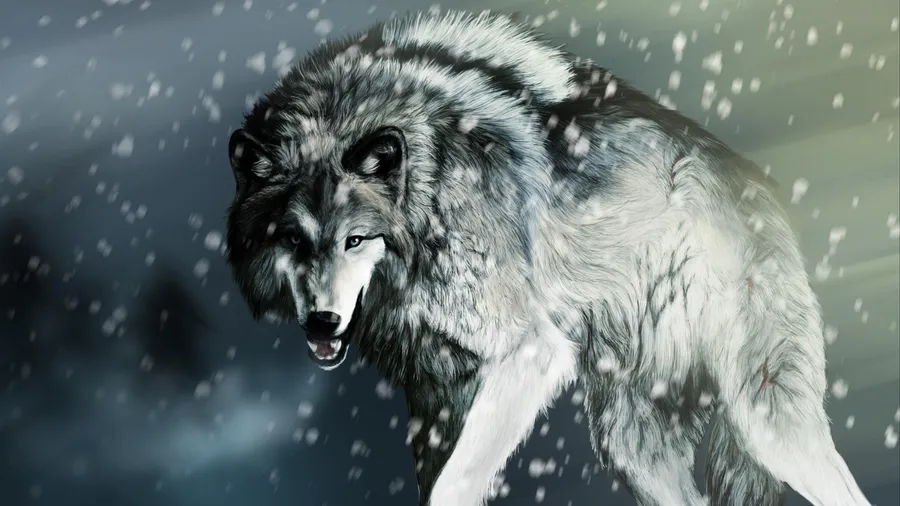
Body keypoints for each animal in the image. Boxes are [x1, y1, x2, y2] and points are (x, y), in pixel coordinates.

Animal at [223, 10, 872, 506]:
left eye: (355, 240)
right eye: (292, 240)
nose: (322, 323)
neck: (429, 189)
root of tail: (759, 184)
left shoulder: (528, 353)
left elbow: (454, 485)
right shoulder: (435, 397)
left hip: (766, 421)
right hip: (629, 445)